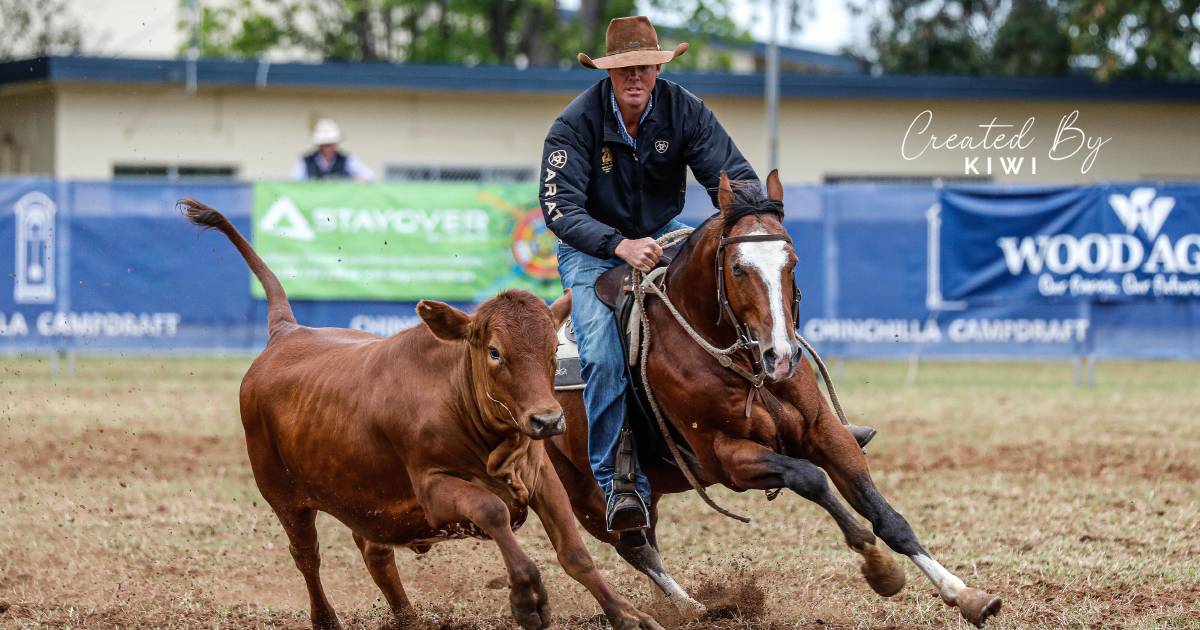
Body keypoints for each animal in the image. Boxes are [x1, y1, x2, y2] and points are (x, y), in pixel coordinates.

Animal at [544, 170, 1003, 624]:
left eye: (792, 262)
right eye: (737, 267)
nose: (780, 356)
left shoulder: (826, 432)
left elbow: (887, 517)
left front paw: (965, 594)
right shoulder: (727, 457)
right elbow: (810, 478)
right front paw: (879, 567)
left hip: (649, 487)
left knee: (642, 539)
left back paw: (685, 605)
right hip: (584, 493)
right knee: (632, 544)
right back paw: (690, 607)